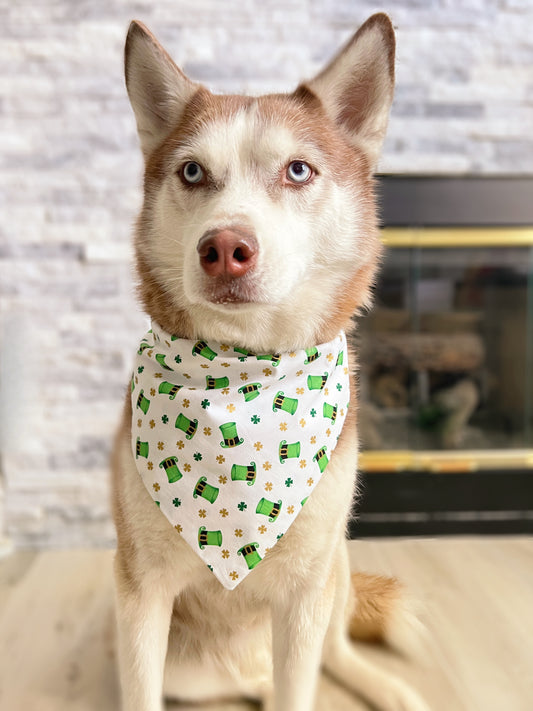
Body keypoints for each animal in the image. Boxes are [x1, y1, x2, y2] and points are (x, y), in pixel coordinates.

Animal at [112, 12, 428, 711]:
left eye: (299, 170)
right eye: (192, 173)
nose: (225, 248)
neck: (241, 377)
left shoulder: (307, 590)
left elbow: (305, 675)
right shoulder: (140, 590)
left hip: (336, 564)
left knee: (334, 654)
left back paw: (390, 690)